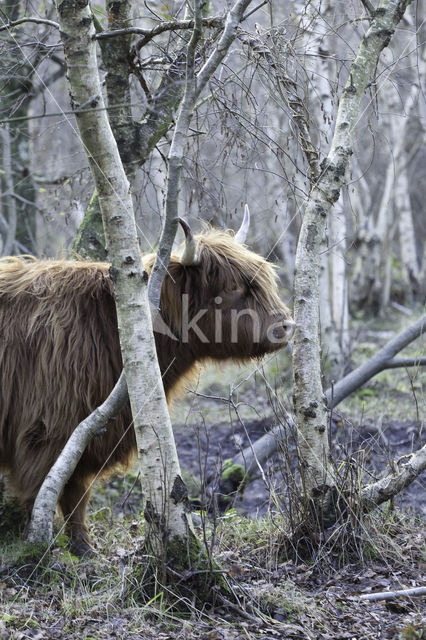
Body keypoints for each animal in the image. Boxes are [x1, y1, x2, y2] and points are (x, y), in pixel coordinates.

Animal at [0, 216, 292, 556]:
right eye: (232, 286)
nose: (287, 325)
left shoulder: (85, 434)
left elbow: (76, 494)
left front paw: (84, 547)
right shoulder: (46, 431)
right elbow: (44, 492)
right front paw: (39, 548)